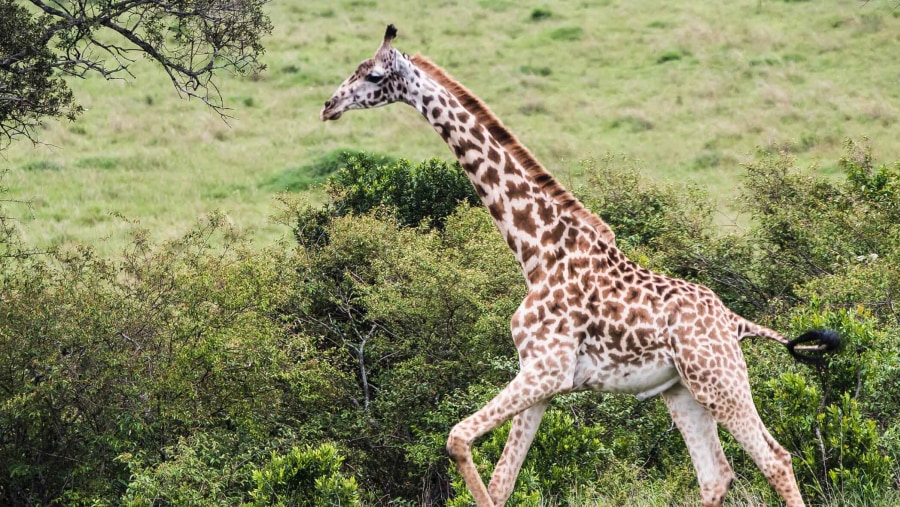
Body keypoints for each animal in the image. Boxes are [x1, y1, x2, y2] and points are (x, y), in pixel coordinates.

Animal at [320, 24, 840, 507]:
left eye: (374, 74)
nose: (328, 105)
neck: (537, 251)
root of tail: (734, 321)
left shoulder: (548, 369)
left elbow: (457, 438)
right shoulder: (542, 377)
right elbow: (501, 481)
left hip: (719, 379)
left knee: (776, 459)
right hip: (682, 390)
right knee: (716, 475)